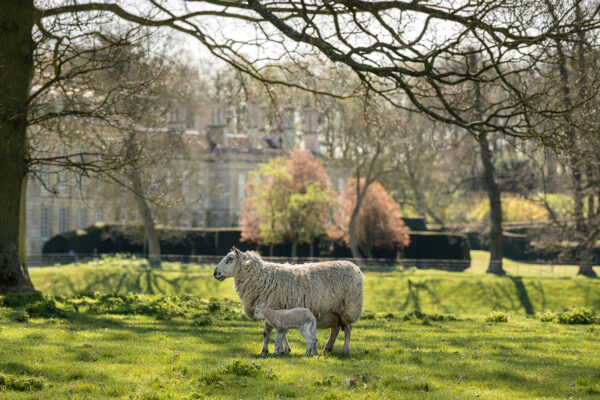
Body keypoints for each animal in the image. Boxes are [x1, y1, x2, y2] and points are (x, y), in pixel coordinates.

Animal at [213, 247, 364, 354]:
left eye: (230, 259)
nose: (215, 273)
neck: (259, 276)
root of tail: (357, 268)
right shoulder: (281, 310)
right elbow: (282, 333)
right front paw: (285, 349)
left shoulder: (273, 307)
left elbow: (267, 332)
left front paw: (266, 350)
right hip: (333, 311)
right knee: (336, 329)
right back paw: (327, 348)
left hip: (348, 308)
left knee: (348, 329)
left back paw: (345, 350)